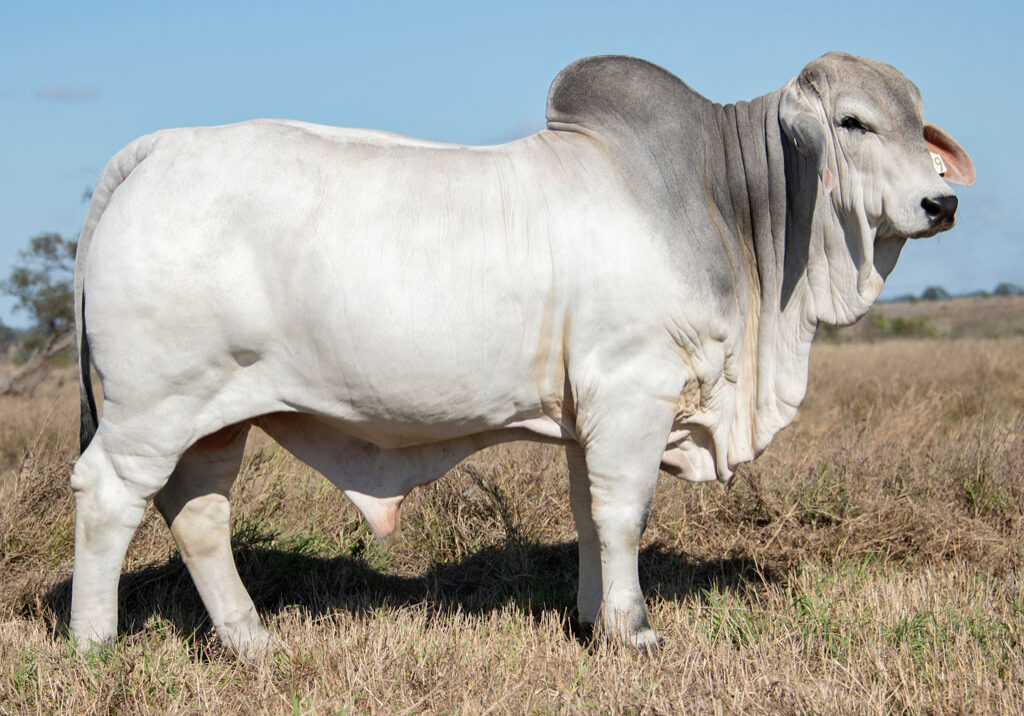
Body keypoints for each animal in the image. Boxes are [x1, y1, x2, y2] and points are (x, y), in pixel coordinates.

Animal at [69, 51, 974, 655]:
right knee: (108, 496)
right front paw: (635, 632)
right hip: (152, 408)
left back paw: (252, 641)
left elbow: (588, 514)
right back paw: (94, 646)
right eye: (853, 122)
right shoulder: (634, 394)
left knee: (199, 514)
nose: (943, 203)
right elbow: (625, 513)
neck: (724, 204)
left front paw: (593, 620)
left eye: (917, 121)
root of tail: (159, 150)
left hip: (216, 415)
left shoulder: (591, 413)